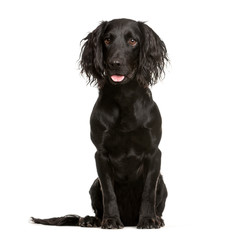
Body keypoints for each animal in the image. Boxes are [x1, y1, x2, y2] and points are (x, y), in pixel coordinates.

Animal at [31, 18, 168, 229]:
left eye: (133, 41)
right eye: (107, 40)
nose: (115, 63)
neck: (124, 97)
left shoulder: (154, 152)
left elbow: (148, 192)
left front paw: (148, 220)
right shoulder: (101, 154)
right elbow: (109, 193)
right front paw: (110, 220)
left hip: (162, 182)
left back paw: (157, 219)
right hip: (94, 184)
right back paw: (91, 219)